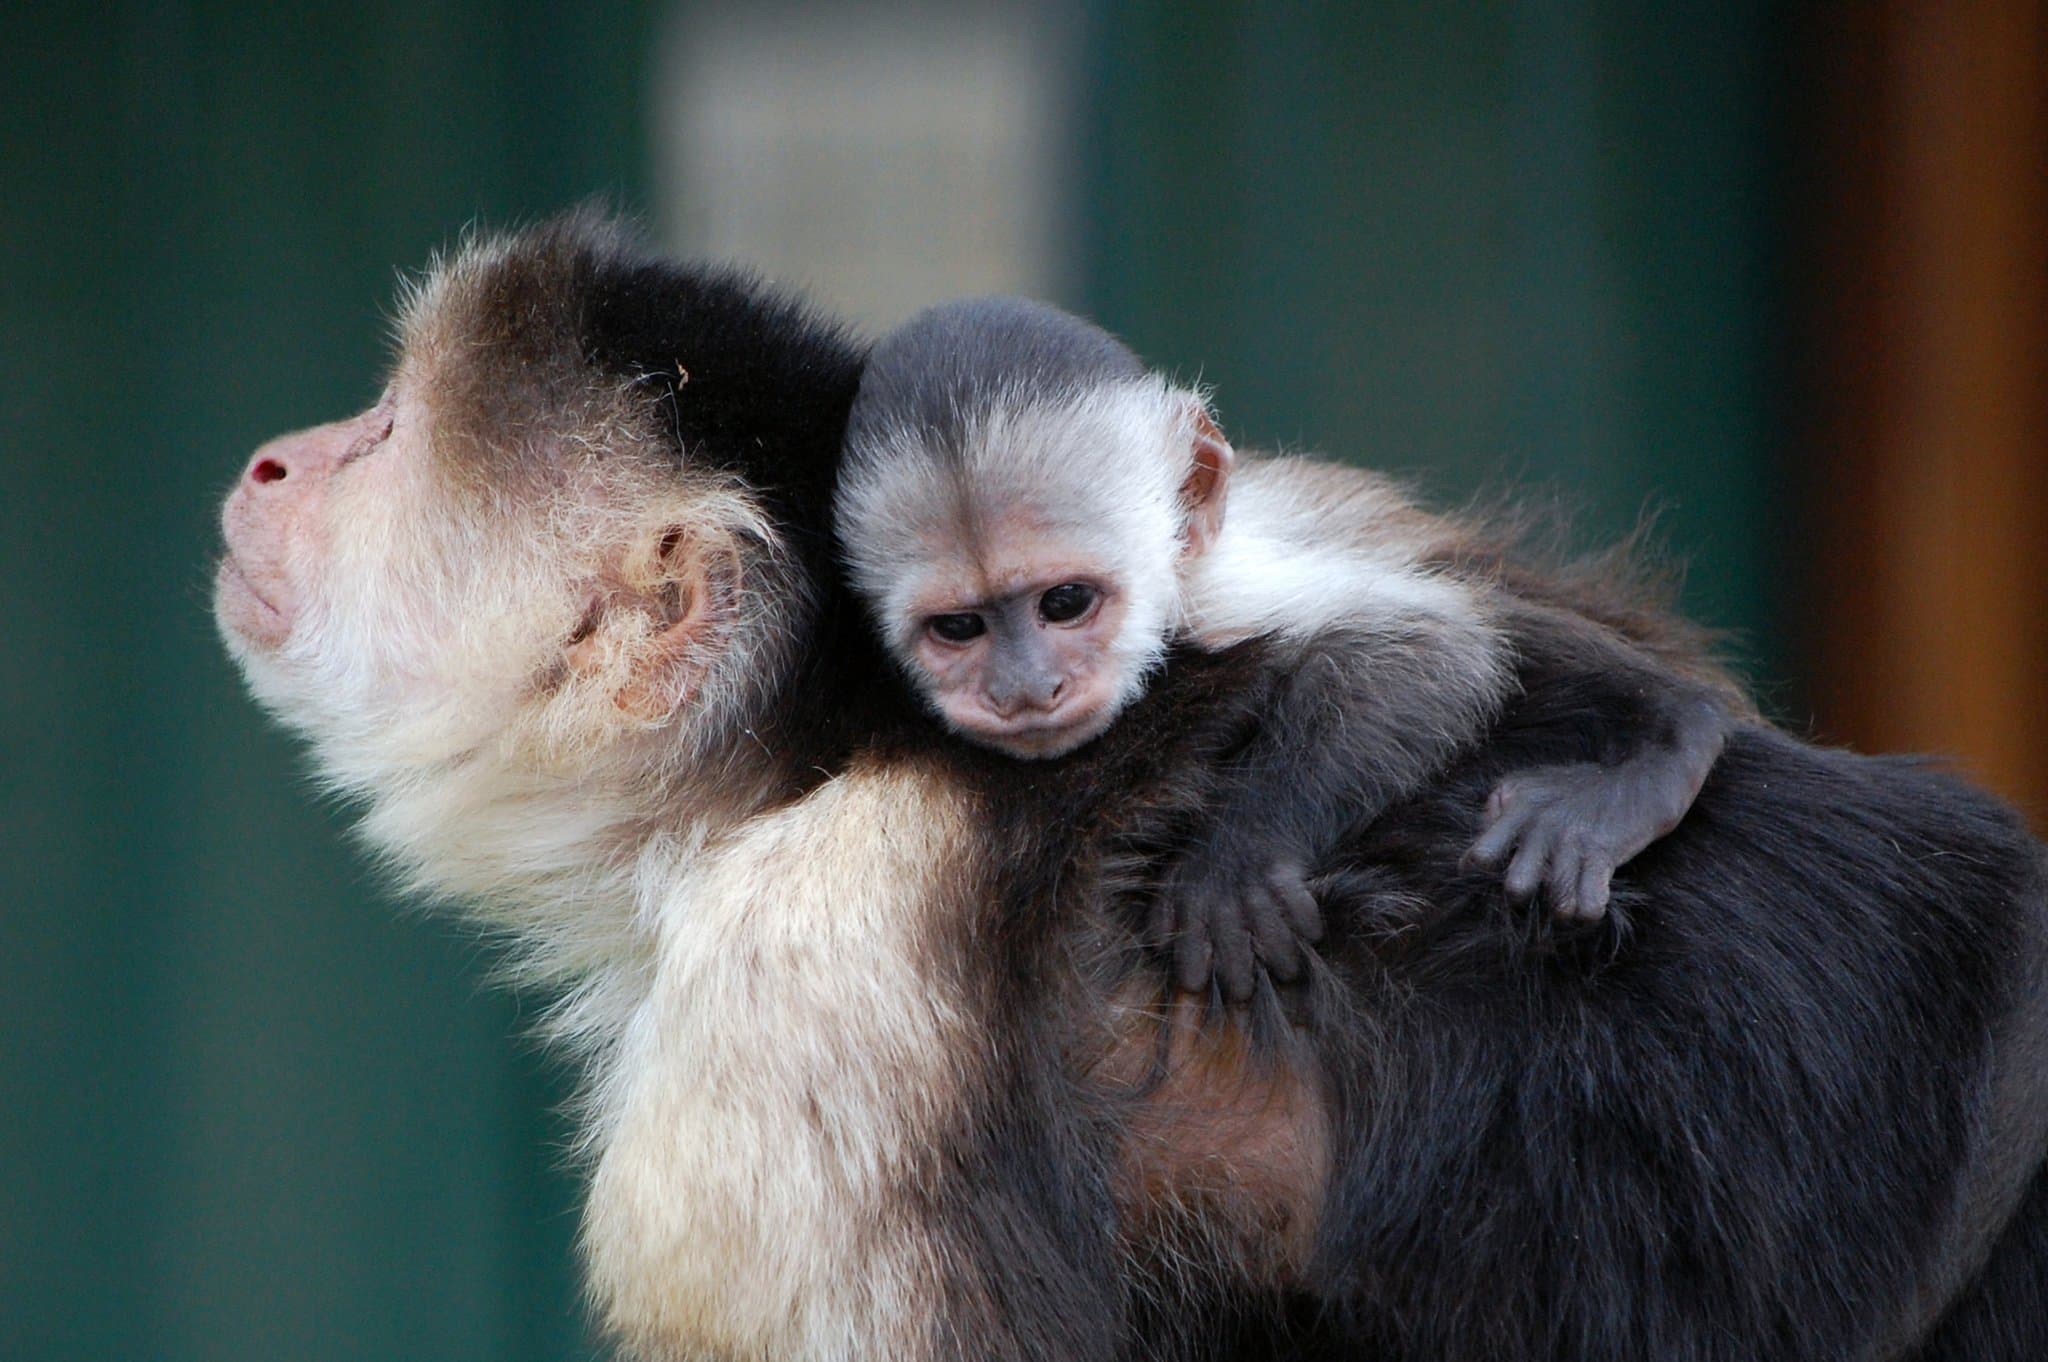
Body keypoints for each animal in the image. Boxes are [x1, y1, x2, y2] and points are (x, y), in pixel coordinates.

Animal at [835, 296, 1742, 1001]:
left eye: (1065, 604)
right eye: (959, 629)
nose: (1024, 690)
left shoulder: (1213, 594)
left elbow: (1432, 648)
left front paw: (1241, 856)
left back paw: (1672, 735)